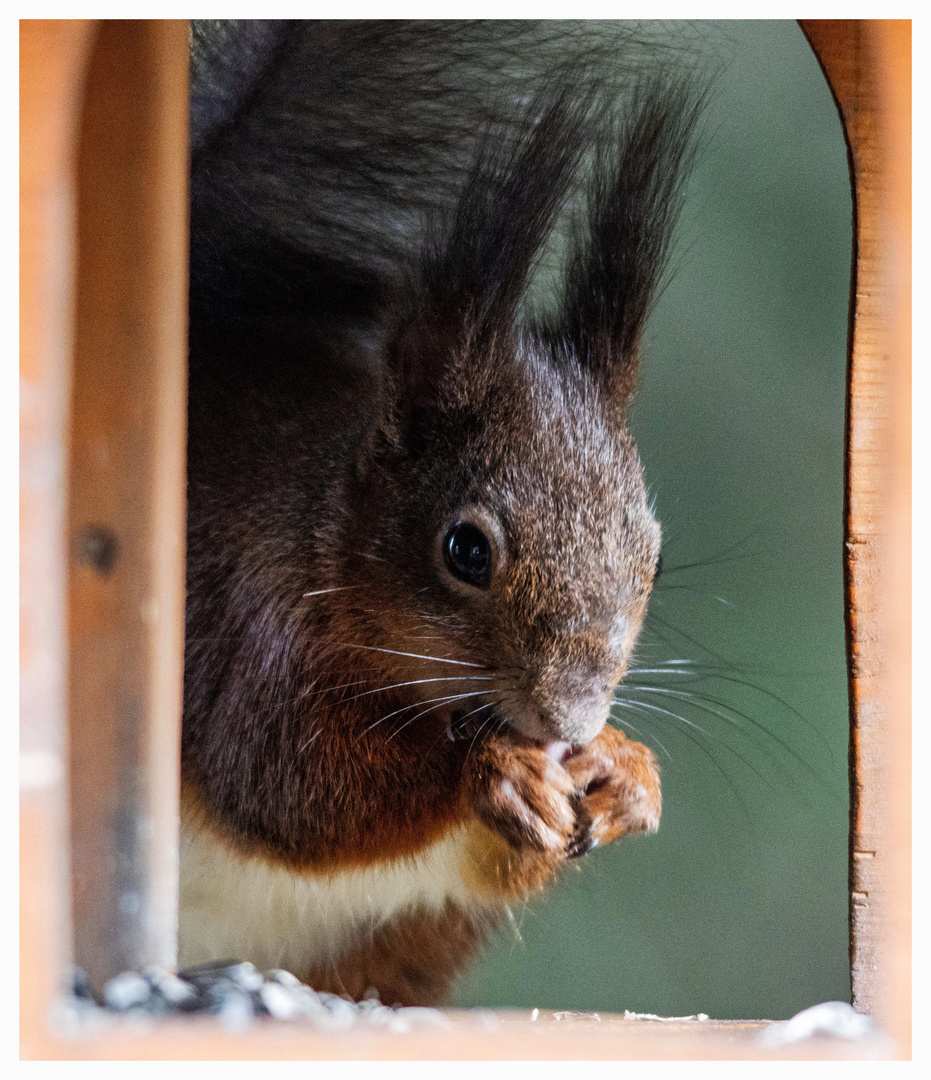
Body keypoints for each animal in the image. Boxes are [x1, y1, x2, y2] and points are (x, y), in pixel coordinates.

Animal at [180, 21, 708, 1006]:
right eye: (464, 550)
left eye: (652, 556)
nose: (570, 720)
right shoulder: (244, 623)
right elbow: (288, 784)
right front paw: (491, 768)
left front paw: (626, 774)